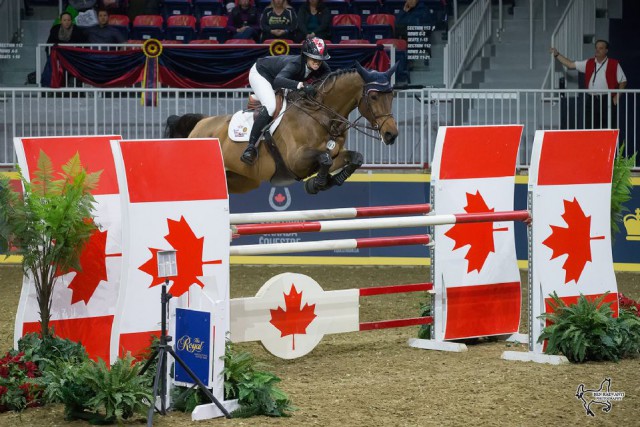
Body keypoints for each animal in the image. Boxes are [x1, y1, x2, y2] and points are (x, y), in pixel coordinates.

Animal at [165, 61, 398, 195]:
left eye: (392, 95)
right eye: (374, 97)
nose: (391, 135)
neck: (322, 115)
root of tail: (201, 123)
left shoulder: (334, 155)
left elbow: (354, 158)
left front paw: (329, 181)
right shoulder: (296, 159)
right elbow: (324, 159)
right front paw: (317, 184)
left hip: (243, 180)